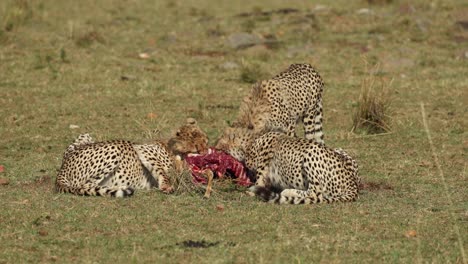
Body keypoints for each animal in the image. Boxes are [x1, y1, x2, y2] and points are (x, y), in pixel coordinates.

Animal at [55, 118, 207, 197]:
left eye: (204, 141)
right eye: (196, 143)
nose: (204, 150)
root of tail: (62, 169)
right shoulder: (143, 149)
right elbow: (161, 171)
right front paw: (166, 186)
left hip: (85, 136)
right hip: (114, 148)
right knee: (85, 186)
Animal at [217, 128, 362, 204]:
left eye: (219, 142)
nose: (214, 147)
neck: (249, 143)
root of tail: (353, 185)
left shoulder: (263, 169)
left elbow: (257, 184)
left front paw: (248, 193)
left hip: (311, 152)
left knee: (316, 193)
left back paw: (288, 191)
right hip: (339, 150)